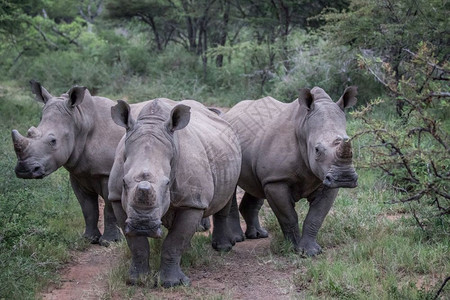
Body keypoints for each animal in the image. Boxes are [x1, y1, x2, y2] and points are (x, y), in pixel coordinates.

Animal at [11, 80, 148, 246]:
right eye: (30, 132)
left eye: (53, 141)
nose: (24, 170)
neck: (80, 120)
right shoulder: (78, 172)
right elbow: (87, 208)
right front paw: (89, 239)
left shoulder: (107, 172)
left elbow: (108, 209)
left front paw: (109, 242)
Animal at [108, 98, 241, 286]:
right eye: (124, 183)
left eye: (167, 184)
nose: (142, 225)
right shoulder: (116, 199)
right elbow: (137, 245)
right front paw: (136, 280)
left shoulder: (192, 202)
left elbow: (175, 241)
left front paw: (171, 283)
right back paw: (189, 251)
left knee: (225, 199)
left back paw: (223, 249)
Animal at [225, 86, 358, 255]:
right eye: (317, 150)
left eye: (350, 142)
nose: (344, 178)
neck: (303, 129)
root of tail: (230, 111)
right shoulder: (276, 180)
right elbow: (288, 216)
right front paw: (293, 248)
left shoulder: (327, 181)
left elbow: (316, 217)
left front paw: (310, 252)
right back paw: (237, 239)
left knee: (256, 185)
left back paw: (258, 235)